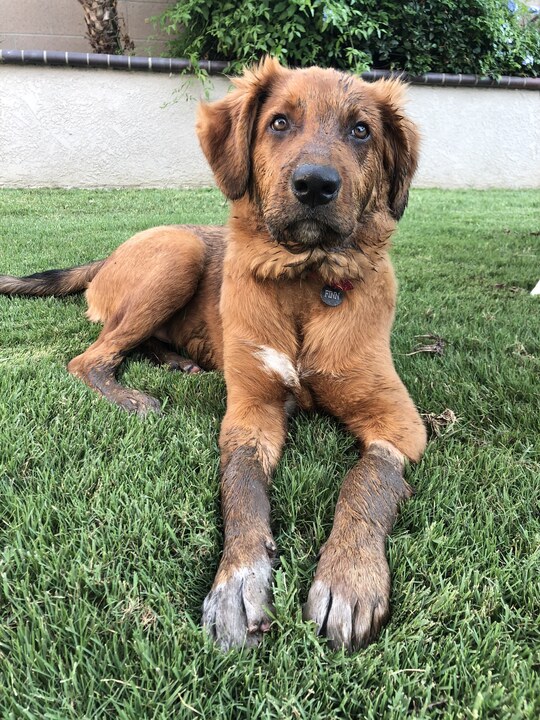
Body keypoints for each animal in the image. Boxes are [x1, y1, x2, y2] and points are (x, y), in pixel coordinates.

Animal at [0, 57, 426, 652]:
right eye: (278, 122)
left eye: (361, 130)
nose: (315, 184)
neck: (306, 281)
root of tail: (106, 256)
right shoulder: (250, 413)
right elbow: (242, 492)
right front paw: (238, 581)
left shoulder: (399, 421)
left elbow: (368, 482)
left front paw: (349, 576)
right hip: (177, 254)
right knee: (88, 359)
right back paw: (133, 398)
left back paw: (178, 360)